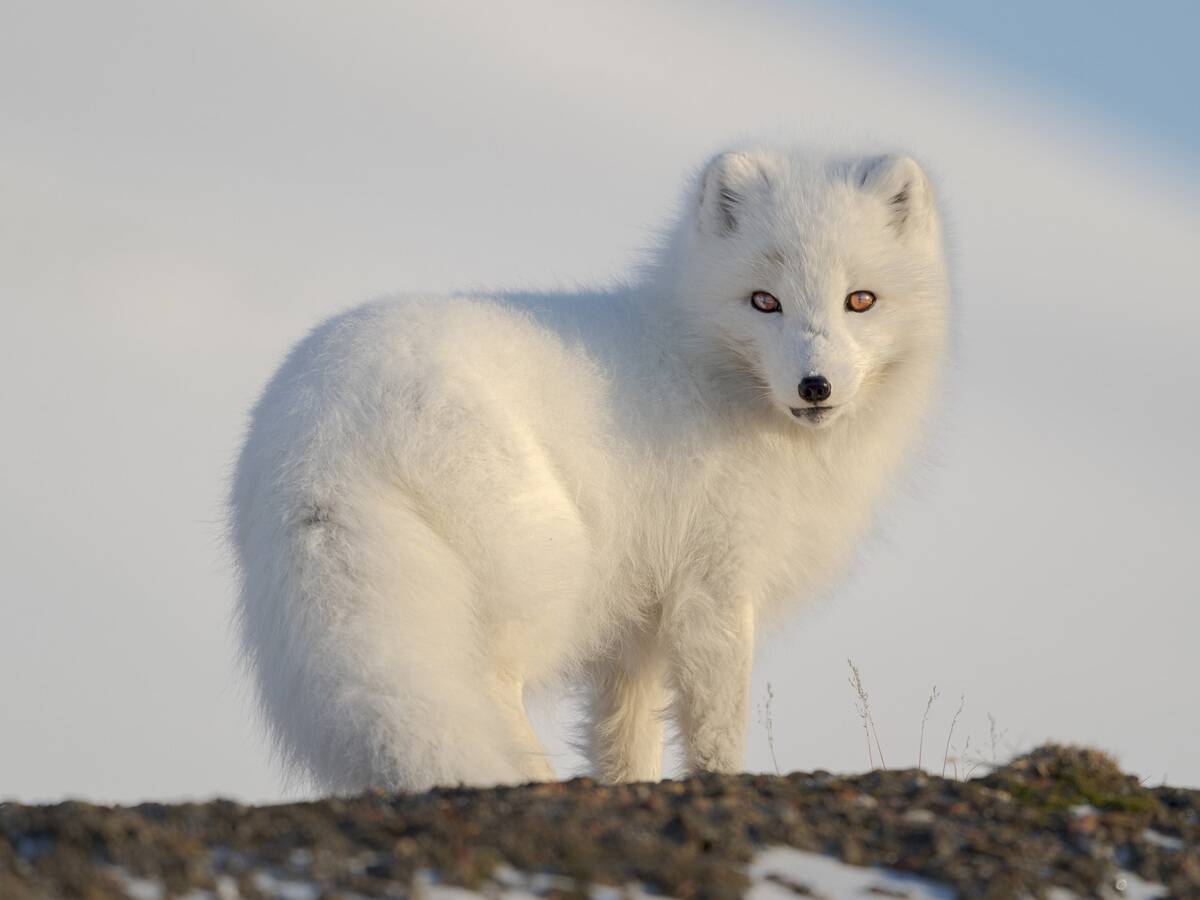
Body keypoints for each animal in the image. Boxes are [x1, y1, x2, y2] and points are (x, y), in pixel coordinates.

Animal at [228, 146, 951, 793]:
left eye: (861, 300)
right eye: (764, 302)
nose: (815, 386)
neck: (706, 368)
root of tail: (323, 431)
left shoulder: (640, 628)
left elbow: (625, 736)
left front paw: (629, 786)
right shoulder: (713, 586)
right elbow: (716, 727)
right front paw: (721, 781)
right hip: (551, 570)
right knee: (486, 681)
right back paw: (525, 777)